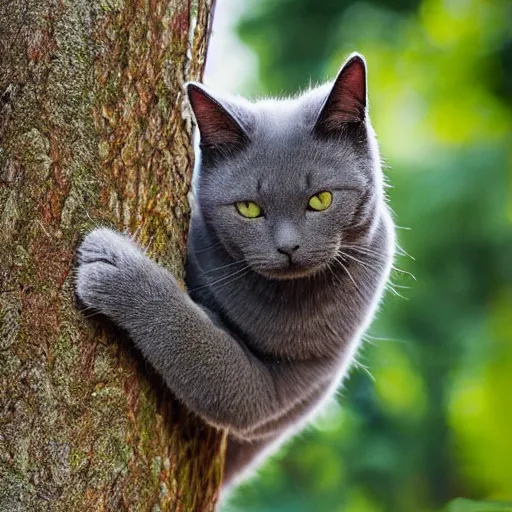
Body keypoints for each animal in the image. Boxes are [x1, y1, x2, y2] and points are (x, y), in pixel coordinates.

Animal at [76, 54, 396, 490]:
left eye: (321, 199)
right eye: (248, 208)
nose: (289, 248)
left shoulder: (270, 394)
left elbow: (189, 338)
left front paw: (115, 269)